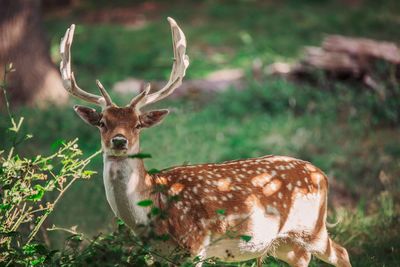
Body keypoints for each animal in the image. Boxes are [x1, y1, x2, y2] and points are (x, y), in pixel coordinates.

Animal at [58, 17, 350, 266]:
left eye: (138, 124)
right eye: (102, 123)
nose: (119, 141)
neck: (154, 209)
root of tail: (322, 174)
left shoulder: (195, 245)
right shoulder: (159, 255)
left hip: (312, 227)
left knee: (342, 252)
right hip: (284, 243)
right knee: (304, 257)